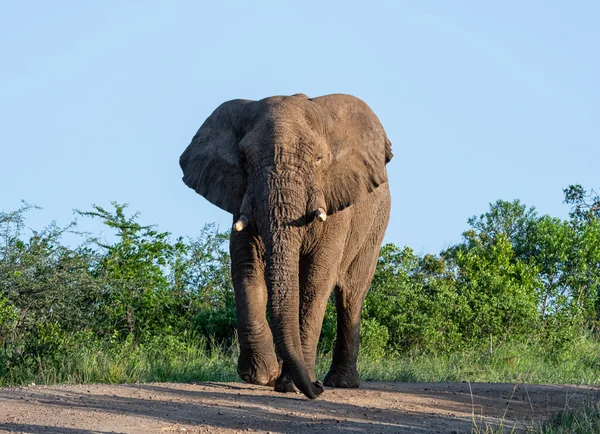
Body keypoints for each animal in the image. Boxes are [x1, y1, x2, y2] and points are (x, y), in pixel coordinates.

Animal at [180, 93, 392, 398]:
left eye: (318, 159)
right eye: (243, 160)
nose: (316, 389)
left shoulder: (337, 206)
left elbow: (316, 279)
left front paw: (291, 385)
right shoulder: (243, 199)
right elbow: (247, 269)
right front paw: (261, 376)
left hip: (376, 223)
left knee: (351, 294)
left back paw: (340, 382)